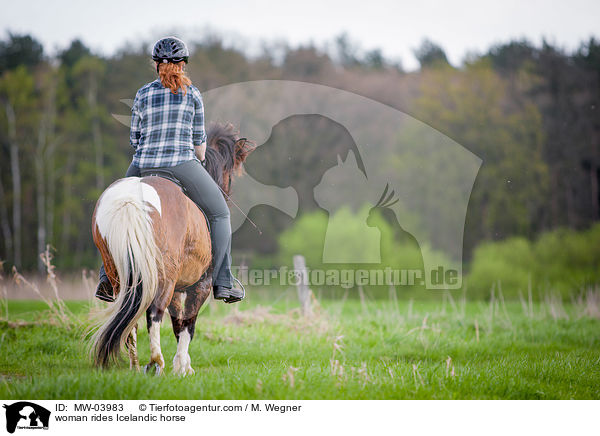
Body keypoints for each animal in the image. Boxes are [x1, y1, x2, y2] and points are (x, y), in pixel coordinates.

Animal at [90, 122, 254, 374]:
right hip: (164, 274)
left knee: (131, 318)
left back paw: (135, 367)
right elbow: (188, 325)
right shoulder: (200, 285)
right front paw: (183, 367)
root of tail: (131, 199)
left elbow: (177, 323)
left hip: (120, 272)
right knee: (154, 311)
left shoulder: (177, 288)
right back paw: (156, 362)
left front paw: (182, 364)